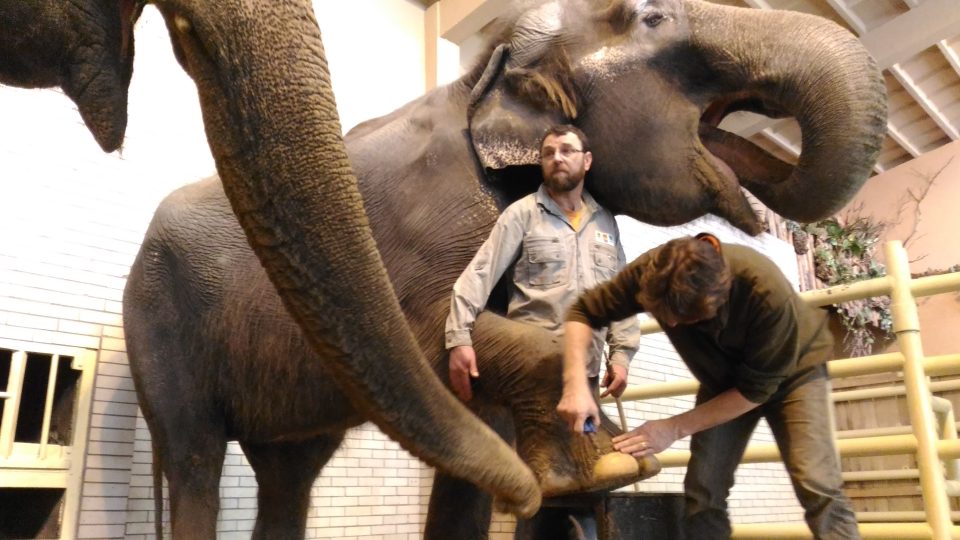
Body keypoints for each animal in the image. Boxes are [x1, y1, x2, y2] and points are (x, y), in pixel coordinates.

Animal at [120, 0, 884, 536]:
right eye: (652, 18)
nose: (795, 236)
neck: (480, 73)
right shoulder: (434, 227)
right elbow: (438, 343)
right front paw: (596, 467)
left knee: (291, 473)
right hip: (154, 325)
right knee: (196, 460)